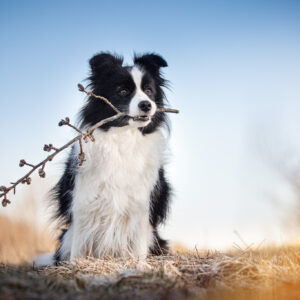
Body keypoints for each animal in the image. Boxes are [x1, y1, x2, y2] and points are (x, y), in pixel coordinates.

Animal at [35, 52, 171, 266]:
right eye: (123, 91)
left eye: (149, 91)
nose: (147, 105)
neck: (123, 137)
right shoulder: (83, 201)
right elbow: (79, 245)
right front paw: (75, 266)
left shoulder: (142, 204)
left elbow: (139, 243)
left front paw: (140, 265)